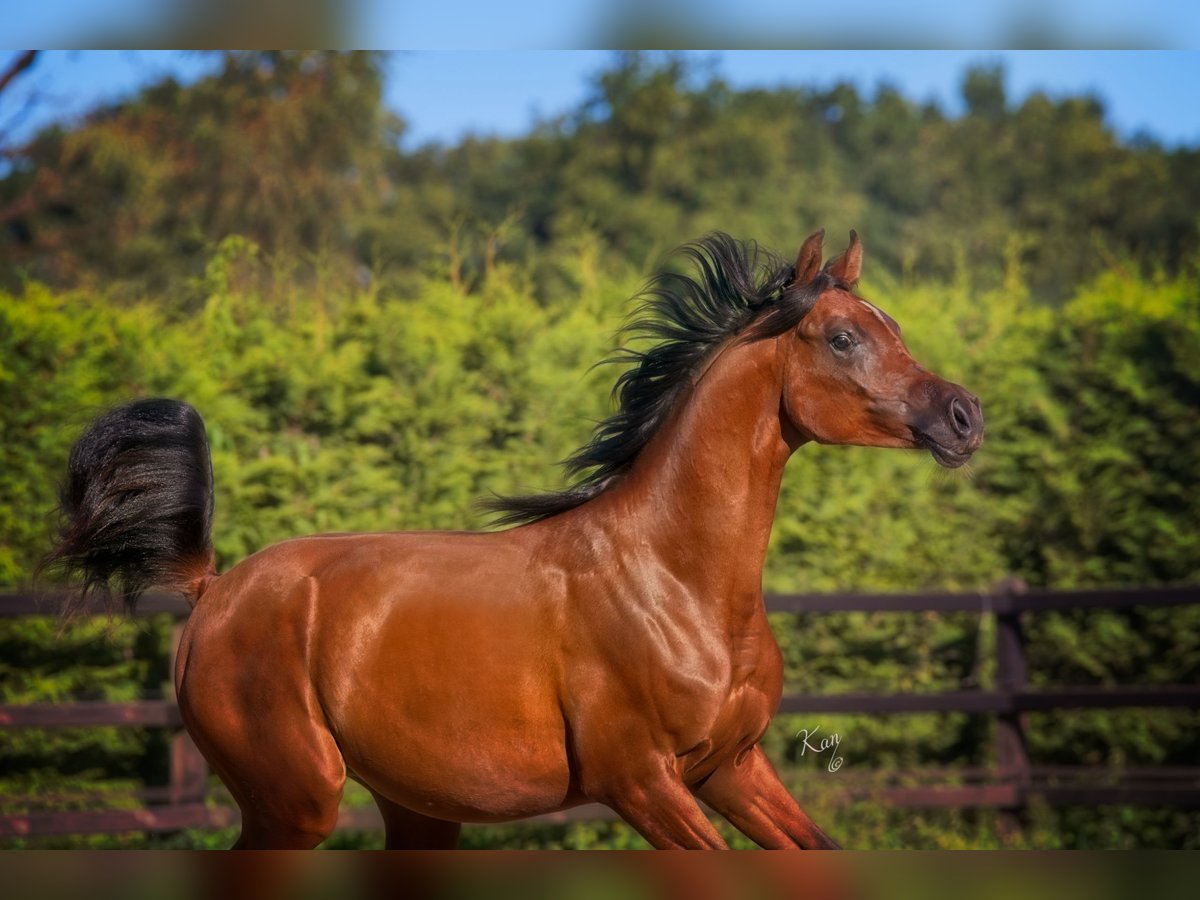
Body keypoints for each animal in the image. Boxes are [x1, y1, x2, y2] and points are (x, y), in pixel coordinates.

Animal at [44, 229, 983, 849]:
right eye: (844, 336)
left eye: (895, 328)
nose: (965, 416)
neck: (678, 582)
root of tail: (214, 590)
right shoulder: (642, 782)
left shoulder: (733, 767)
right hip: (295, 801)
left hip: (417, 810)